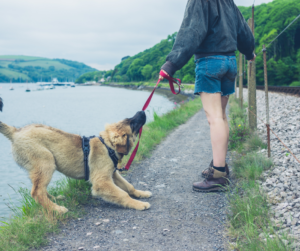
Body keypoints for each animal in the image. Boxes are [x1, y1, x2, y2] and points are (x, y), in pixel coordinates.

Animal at [0, 102, 150, 214]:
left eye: (129, 119)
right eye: (132, 123)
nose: (142, 111)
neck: (108, 146)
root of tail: (15, 132)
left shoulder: (113, 174)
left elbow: (129, 186)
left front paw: (140, 193)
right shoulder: (101, 181)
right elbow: (123, 194)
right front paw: (138, 204)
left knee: (41, 189)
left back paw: (56, 199)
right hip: (46, 162)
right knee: (37, 192)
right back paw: (57, 209)